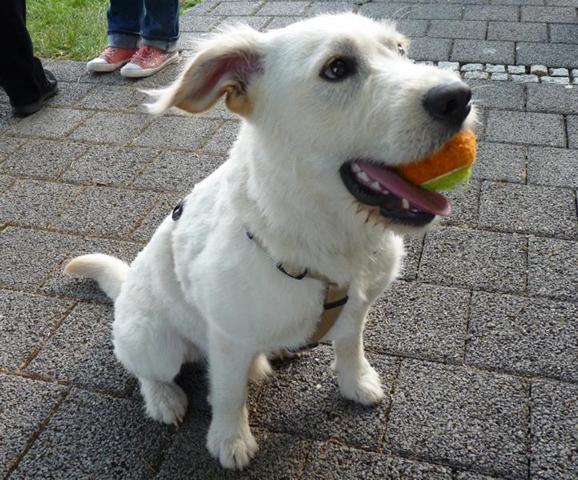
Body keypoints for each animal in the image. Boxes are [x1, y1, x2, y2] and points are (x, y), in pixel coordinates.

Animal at [64, 13, 475, 469]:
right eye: (337, 68)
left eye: (400, 49)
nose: (459, 97)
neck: (329, 237)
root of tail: (124, 290)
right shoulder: (228, 338)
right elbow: (228, 394)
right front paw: (230, 439)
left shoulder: (358, 307)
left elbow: (351, 347)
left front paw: (357, 382)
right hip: (152, 342)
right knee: (145, 371)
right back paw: (164, 399)